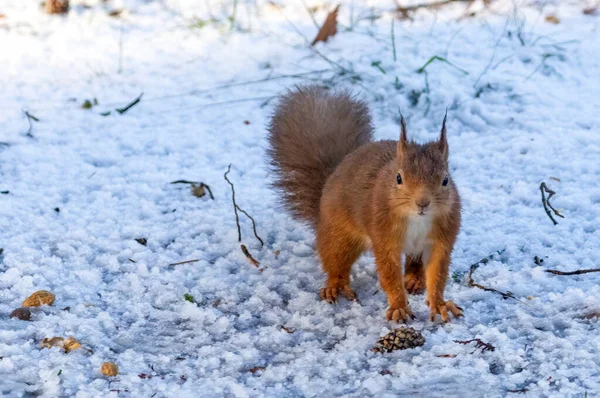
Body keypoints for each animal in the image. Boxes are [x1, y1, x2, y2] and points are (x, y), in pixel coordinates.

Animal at [268, 85, 464, 322]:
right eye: (399, 178)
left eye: (446, 180)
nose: (422, 203)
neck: (417, 220)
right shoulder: (383, 236)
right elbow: (389, 274)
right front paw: (399, 307)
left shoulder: (442, 239)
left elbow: (438, 273)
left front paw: (439, 303)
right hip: (340, 233)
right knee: (335, 259)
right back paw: (336, 285)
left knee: (414, 262)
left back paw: (414, 279)